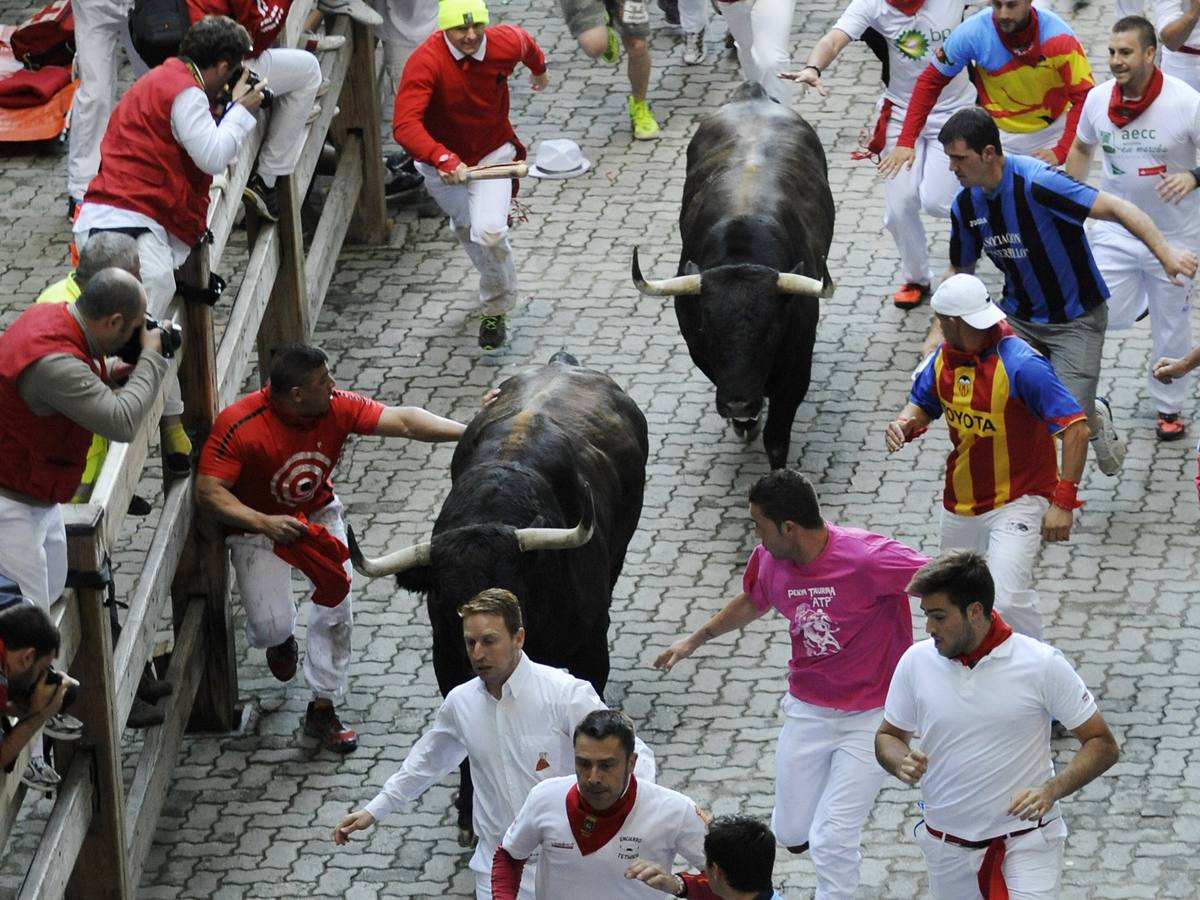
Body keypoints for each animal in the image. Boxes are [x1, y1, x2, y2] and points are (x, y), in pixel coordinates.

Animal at [348, 355, 648, 844]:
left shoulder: (591, 648)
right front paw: (468, 812)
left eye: (510, 586)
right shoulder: (448, 664)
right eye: (444, 597)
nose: (478, 646)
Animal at [628, 84, 835, 472]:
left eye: (770, 329)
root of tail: (751, 95)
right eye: (708, 327)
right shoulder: (702, 354)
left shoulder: (797, 368)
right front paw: (745, 423)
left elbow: (776, 438)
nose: (738, 403)